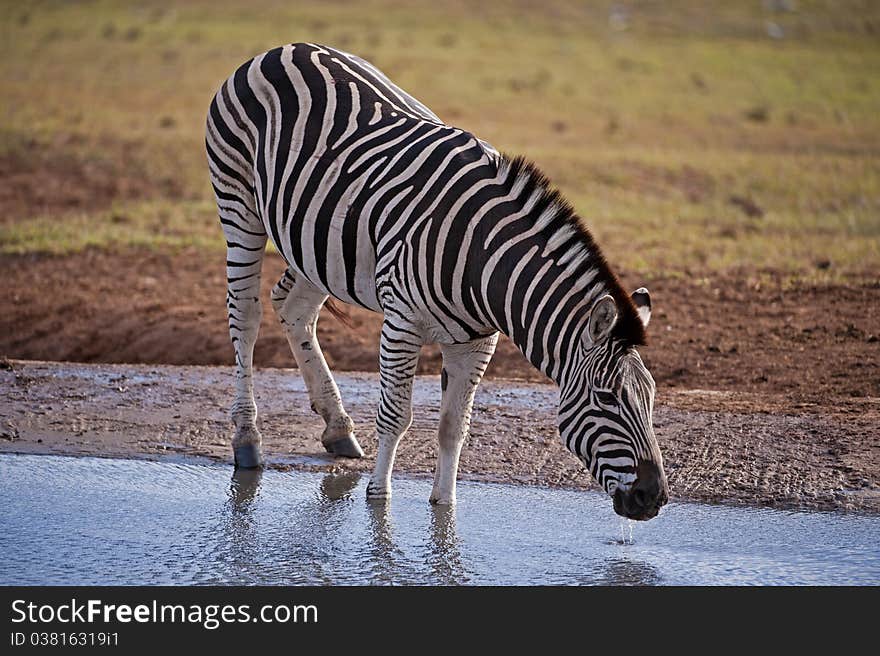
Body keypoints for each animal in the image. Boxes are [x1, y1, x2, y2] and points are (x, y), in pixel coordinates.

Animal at [205, 43, 668, 520]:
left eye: (651, 397)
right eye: (607, 397)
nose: (653, 497)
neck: (483, 261)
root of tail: (285, 48)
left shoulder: (477, 342)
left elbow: (453, 426)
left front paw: (444, 508)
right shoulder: (401, 324)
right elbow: (396, 416)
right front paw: (379, 500)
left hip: (316, 241)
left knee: (293, 308)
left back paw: (337, 428)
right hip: (238, 203)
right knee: (245, 316)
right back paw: (248, 440)